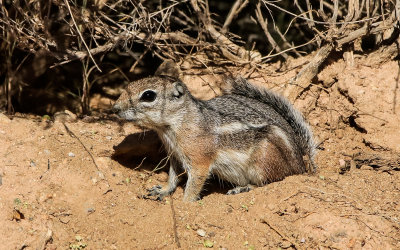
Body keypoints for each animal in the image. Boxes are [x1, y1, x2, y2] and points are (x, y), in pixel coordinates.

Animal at [112, 63, 316, 202]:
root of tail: (302, 164)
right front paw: (163, 190)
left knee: (269, 182)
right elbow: (173, 176)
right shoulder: (175, 156)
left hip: (264, 158)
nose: (115, 108)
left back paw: (242, 188)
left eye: (148, 95)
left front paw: (186, 204)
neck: (178, 123)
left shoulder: (199, 160)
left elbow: (194, 183)